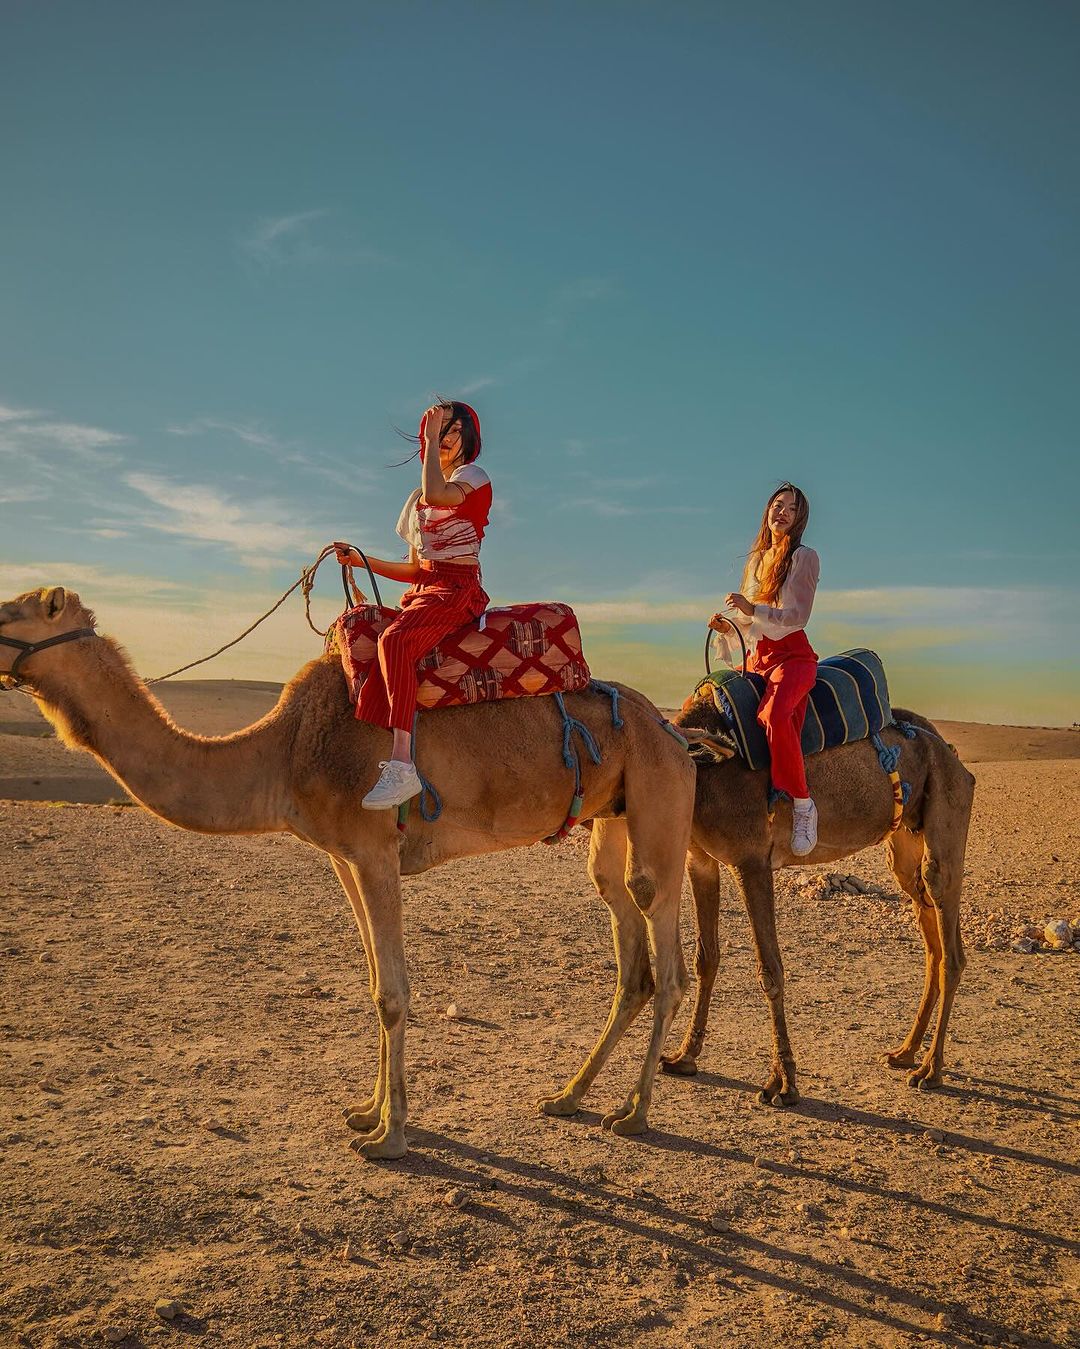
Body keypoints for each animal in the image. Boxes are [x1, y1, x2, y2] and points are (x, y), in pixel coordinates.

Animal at [0, 586, 699, 1159]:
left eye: (10, 611)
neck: (284, 751)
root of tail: (673, 731)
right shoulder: (342, 856)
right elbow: (372, 985)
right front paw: (366, 1112)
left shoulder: (374, 848)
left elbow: (392, 994)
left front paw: (391, 1136)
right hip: (613, 812)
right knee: (627, 941)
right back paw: (567, 1096)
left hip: (660, 794)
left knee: (666, 953)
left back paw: (634, 1112)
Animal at [657, 686, 975, 1104]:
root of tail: (949, 751)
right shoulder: (700, 858)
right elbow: (706, 959)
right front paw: (683, 1056)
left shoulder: (751, 860)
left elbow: (770, 968)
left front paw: (783, 1082)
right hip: (906, 839)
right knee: (930, 939)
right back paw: (905, 1053)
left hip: (946, 811)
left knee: (950, 947)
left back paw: (930, 1070)